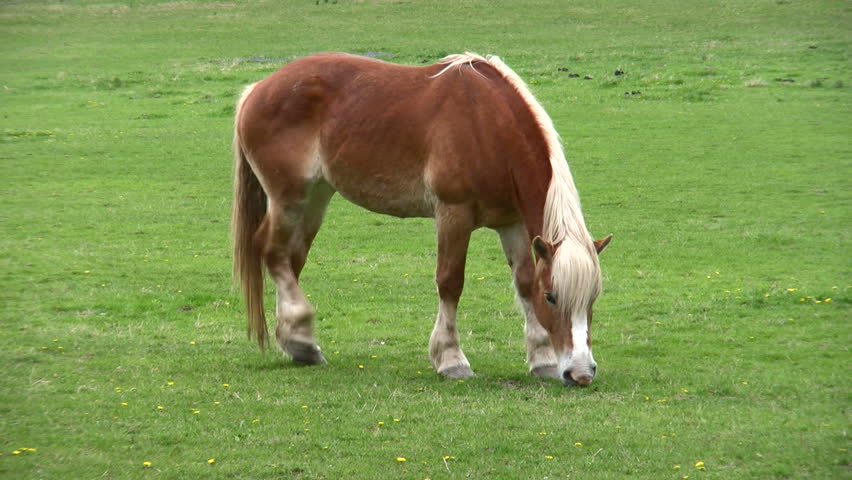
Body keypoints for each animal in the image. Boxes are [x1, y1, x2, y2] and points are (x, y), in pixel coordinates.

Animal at [230, 52, 608, 388]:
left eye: (593, 298)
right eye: (553, 297)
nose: (580, 373)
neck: (488, 125)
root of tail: (257, 89)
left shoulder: (511, 222)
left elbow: (524, 281)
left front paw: (542, 360)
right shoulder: (453, 214)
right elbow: (450, 281)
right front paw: (451, 360)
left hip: (316, 198)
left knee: (291, 260)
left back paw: (298, 342)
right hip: (289, 199)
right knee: (271, 252)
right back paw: (301, 338)